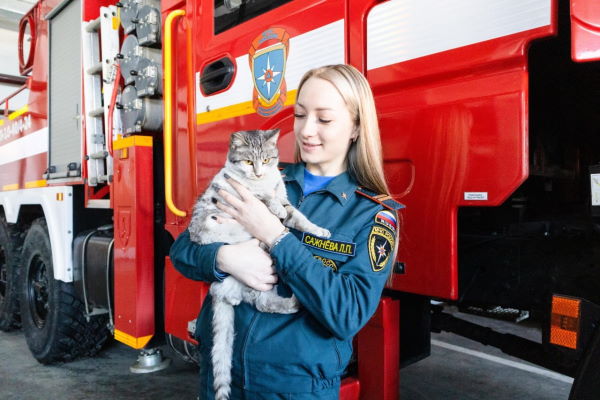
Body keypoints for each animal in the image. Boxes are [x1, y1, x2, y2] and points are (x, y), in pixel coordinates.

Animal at [188, 130, 330, 398]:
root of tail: (224, 292)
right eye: (247, 162)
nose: (258, 172)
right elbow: (263, 199)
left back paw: (292, 301)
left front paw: (319, 230)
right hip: (215, 232)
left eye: (266, 160)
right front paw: (272, 206)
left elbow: (298, 216)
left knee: (263, 303)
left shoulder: (284, 198)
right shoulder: (240, 194)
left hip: (259, 285)